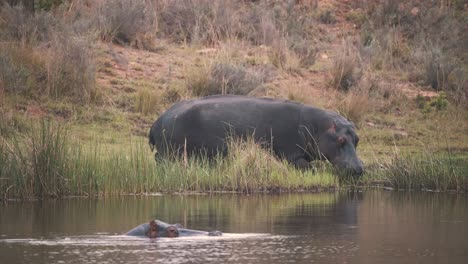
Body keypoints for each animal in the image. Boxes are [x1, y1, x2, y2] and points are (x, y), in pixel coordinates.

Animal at [148, 94, 364, 176]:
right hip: (171, 152)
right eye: (340, 139)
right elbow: (309, 167)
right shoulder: (292, 155)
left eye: (357, 139)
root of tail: (158, 120)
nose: (360, 168)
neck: (316, 127)